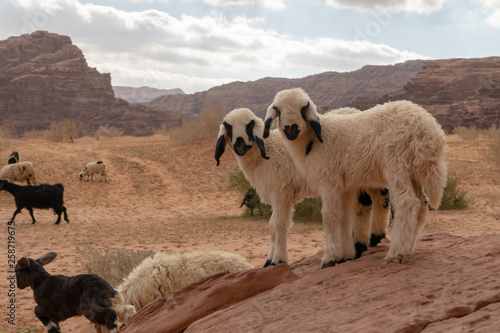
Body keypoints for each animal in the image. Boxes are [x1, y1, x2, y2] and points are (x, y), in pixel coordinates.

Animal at [215, 107, 390, 266]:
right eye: (228, 127)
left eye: (249, 125)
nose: (239, 143)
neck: (265, 152)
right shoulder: (276, 194)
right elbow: (271, 226)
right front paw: (269, 260)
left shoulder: (281, 192)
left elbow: (277, 224)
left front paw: (277, 260)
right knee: (374, 198)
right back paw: (369, 239)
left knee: (368, 202)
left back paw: (363, 242)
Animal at [264, 87, 448, 266]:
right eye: (277, 109)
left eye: (303, 108)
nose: (291, 128)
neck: (313, 140)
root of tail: (428, 128)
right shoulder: (345, 186)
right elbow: (345, 216)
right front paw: (345, 255)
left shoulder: (329, 181)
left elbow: (329, 216)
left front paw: (329, 258)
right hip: (412, 172)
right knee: (422, 203)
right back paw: (407, 248)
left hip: (396, 165)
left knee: (407, 203)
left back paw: (394, 254)